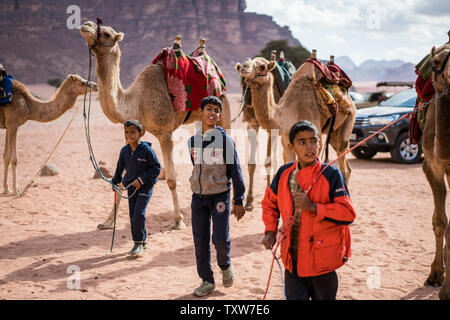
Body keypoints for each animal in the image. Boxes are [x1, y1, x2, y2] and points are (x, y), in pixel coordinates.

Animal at [78, 20, 230, 230]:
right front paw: (108, 222)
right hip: (202, 116)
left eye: (107, 34)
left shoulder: (166, 132)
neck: (138, 101)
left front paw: (178, 221)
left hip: (222, 106)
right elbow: (122, 179)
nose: (86, 25)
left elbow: (172, 179)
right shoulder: (130, 133)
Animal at [236, 52, 356, 182]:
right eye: (245, 63)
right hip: (333, 132)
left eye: (262, 66)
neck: (292, 111)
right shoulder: (286, 140)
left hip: (350, 118)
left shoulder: (316, 138)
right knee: (346, 164)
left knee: (344, 162)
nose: (243, 67)